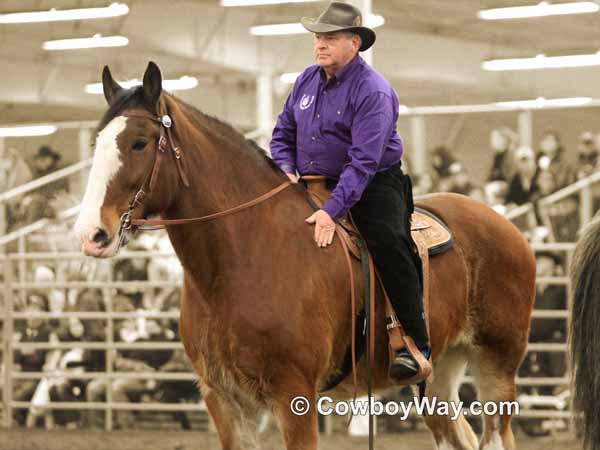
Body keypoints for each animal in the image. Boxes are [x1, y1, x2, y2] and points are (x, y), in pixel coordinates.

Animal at [72, 62, 536, 450]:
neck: (241, 258)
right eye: (96, 142)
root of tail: (506, 227)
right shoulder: (225, 400)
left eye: (139, 142)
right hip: (442, 369)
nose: (91, 234)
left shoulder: (294, 394)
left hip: (497, 363)